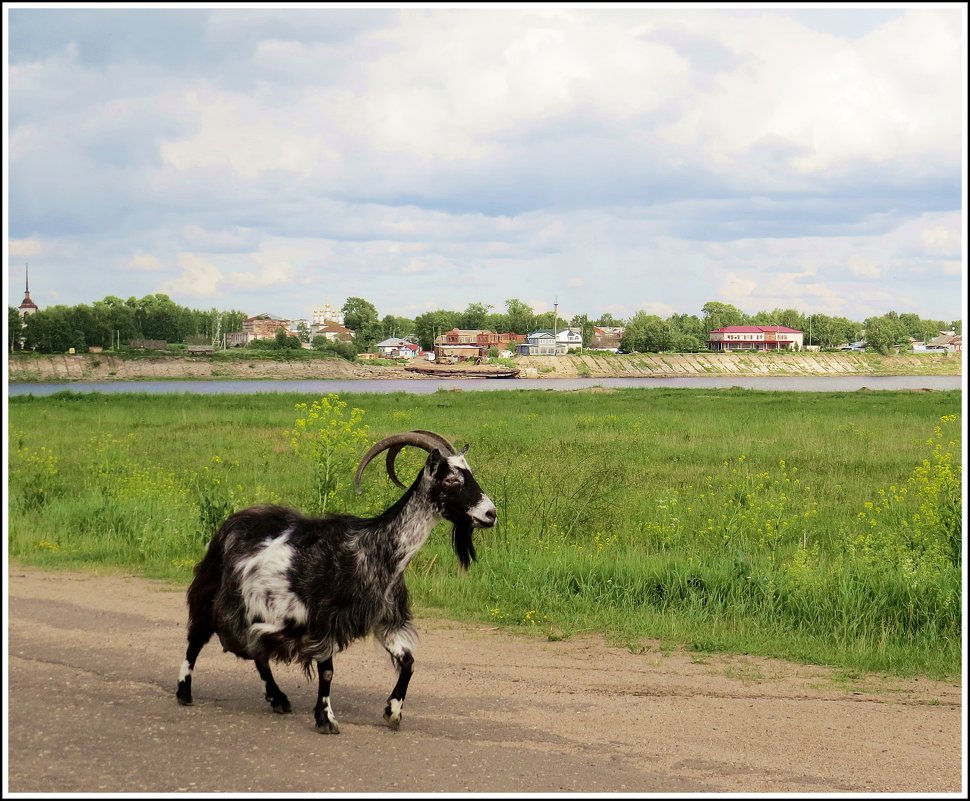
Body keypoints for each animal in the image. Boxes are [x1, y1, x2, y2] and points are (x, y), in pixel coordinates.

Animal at [174, 432, 496, 732]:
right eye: (452, 480)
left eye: (470, 474)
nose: (491, 513)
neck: (374, 549)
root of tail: (229, 524)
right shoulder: (324, 620)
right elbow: (327, 671)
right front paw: (326, 719)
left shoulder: (383, 618)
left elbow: (408, 663)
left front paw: (393, 713)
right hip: (214, 593)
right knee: (197, 638)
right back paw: (184, 692)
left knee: (257, 650)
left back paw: (278, 698)